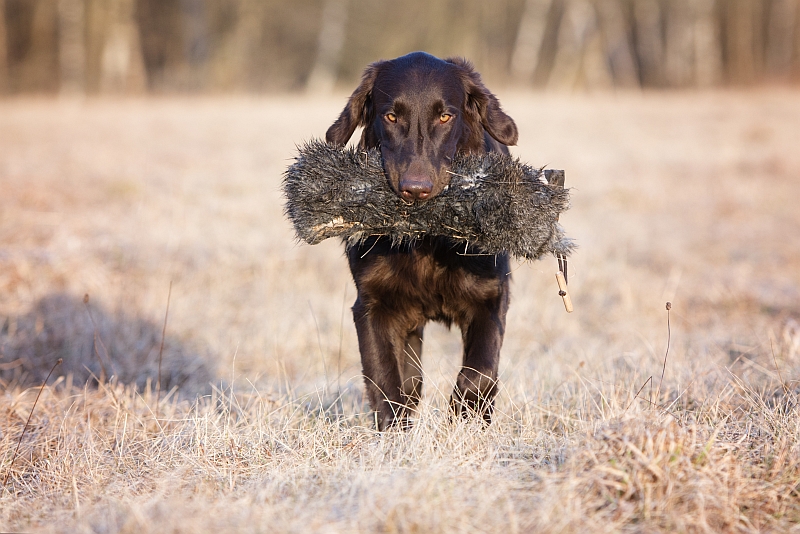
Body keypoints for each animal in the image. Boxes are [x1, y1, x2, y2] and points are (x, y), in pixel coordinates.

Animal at [324, 51, 520, 432]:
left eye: (445, 116)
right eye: (390, 116)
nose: (416, 189)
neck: (427, 239)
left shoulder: (492, 297)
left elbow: (480, 372)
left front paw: (465, 416)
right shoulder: (372, 305)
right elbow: (386, 380)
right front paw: (396, 434)